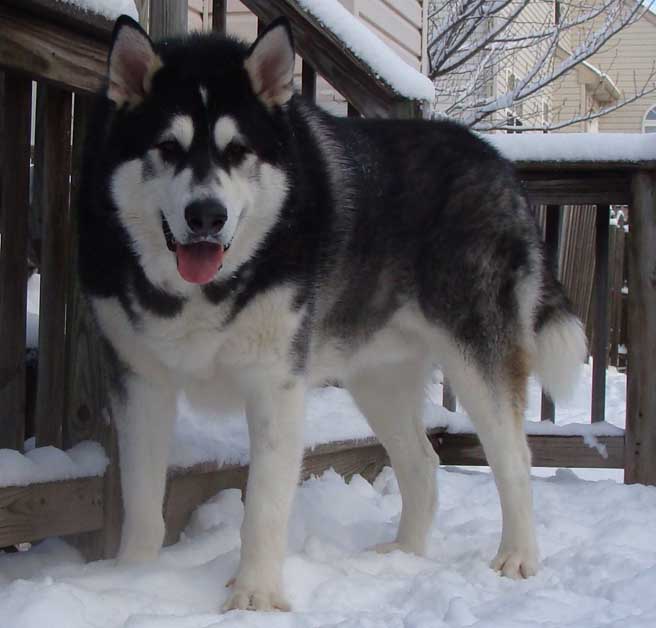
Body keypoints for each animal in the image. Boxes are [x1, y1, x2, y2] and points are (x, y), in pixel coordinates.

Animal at [79, 15, 588, 612]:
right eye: (166, 146)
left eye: (238, 150)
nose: (206, 215)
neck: (200, 292)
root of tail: (500, 163)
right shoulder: (140, 382)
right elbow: (140, 498)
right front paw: (131, 580)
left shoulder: (276, 382)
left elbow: (264, 504)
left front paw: (255, 595)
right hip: (378, 377)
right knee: (422, 461)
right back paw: (403, 553)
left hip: (476, 355)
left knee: (514, 458)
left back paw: (517, 556)